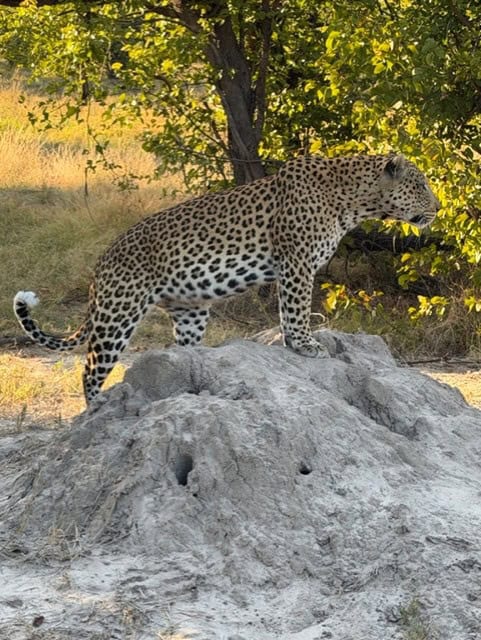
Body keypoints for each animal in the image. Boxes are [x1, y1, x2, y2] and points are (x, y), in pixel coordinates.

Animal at [14, 153, 440, 405]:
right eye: (420, 185)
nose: (438, 208)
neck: (354, 200)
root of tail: (100, 264)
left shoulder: (296, 264)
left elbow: (291, 310)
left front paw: (299, 344)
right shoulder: (297, 262)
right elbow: (296, 309)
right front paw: (304, 345)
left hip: (189, 312)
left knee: (181, 350)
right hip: (118, 315)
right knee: (90, 368)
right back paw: (95, 409)